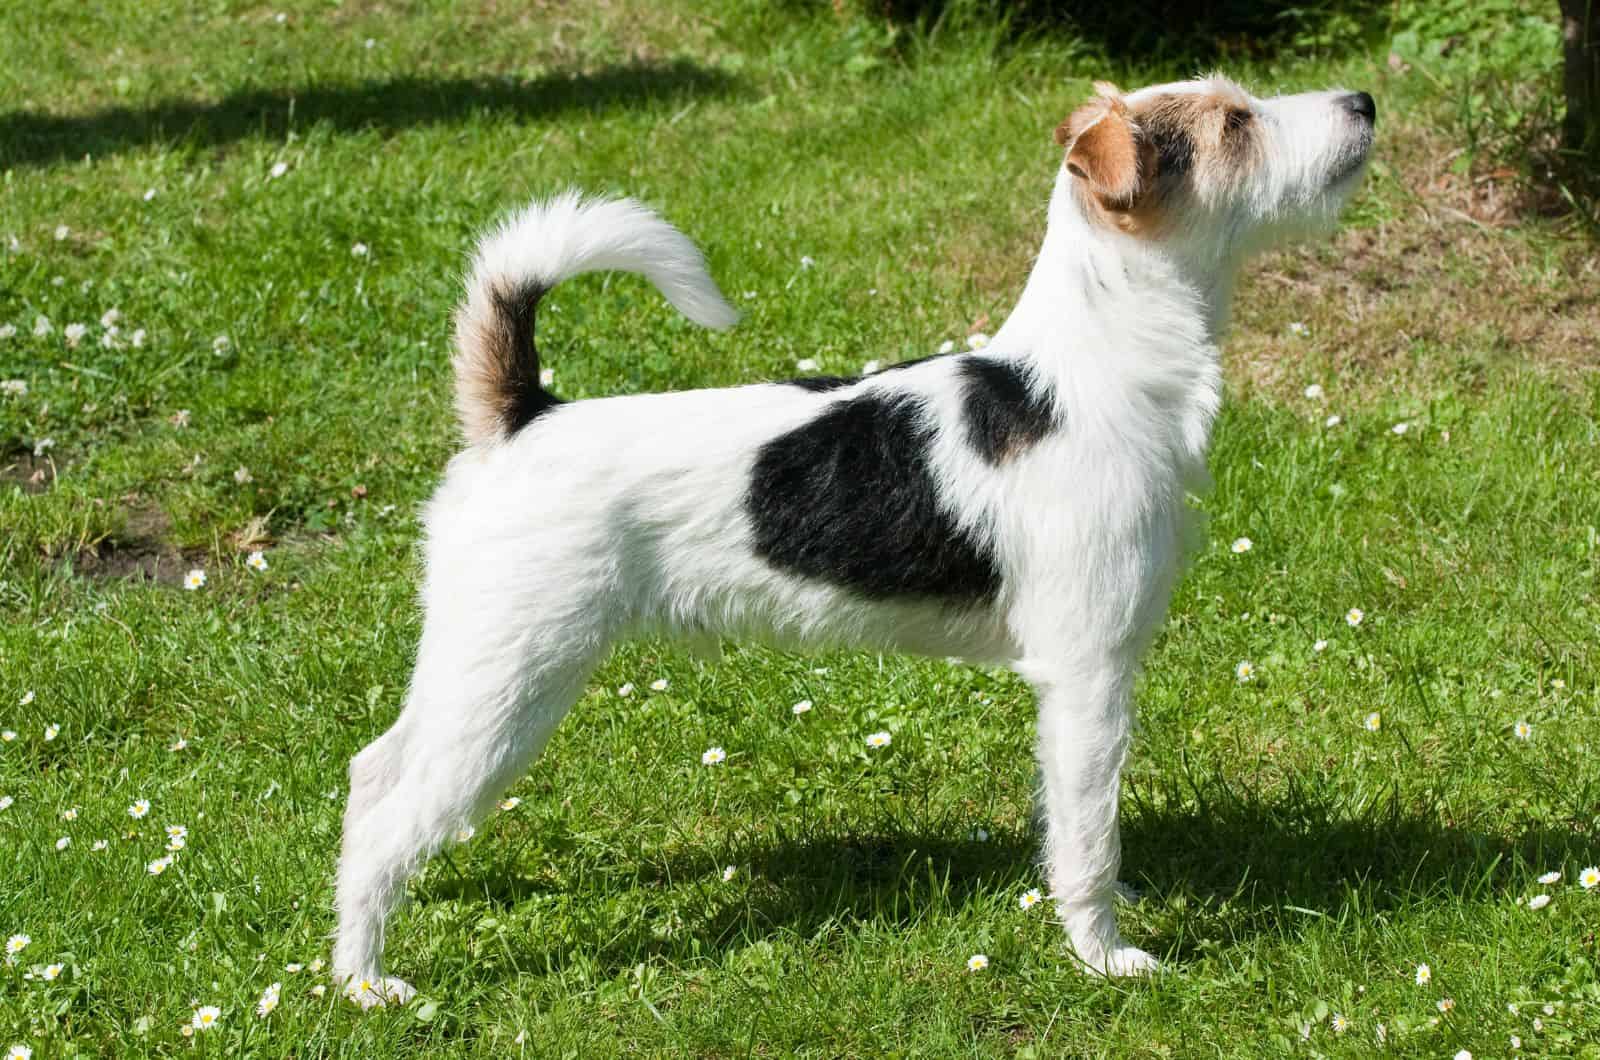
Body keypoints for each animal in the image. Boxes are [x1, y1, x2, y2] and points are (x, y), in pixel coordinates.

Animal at [328, 74, 1376, 1005]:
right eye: (1234, 123)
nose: (1365, 103)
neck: (1087, 374)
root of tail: (522, 418)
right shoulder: (1087, 674)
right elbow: (1088, 834)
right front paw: (1103, 954)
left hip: (472, 665)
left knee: (374, 775)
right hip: (511, 683)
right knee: (390, 822)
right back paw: (367, 982)